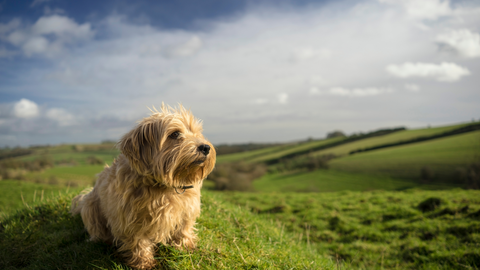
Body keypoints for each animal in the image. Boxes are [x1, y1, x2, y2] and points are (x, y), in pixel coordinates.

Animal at [70, 104, 216, 268]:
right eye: (175, 134)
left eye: (197, 132)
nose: (206, 147)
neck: (163, 186)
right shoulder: (131, 220)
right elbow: (138, 242)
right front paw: (143, 263)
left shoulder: (187, 211)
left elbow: (183, 230)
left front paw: (186, 248)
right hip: (90, 206)